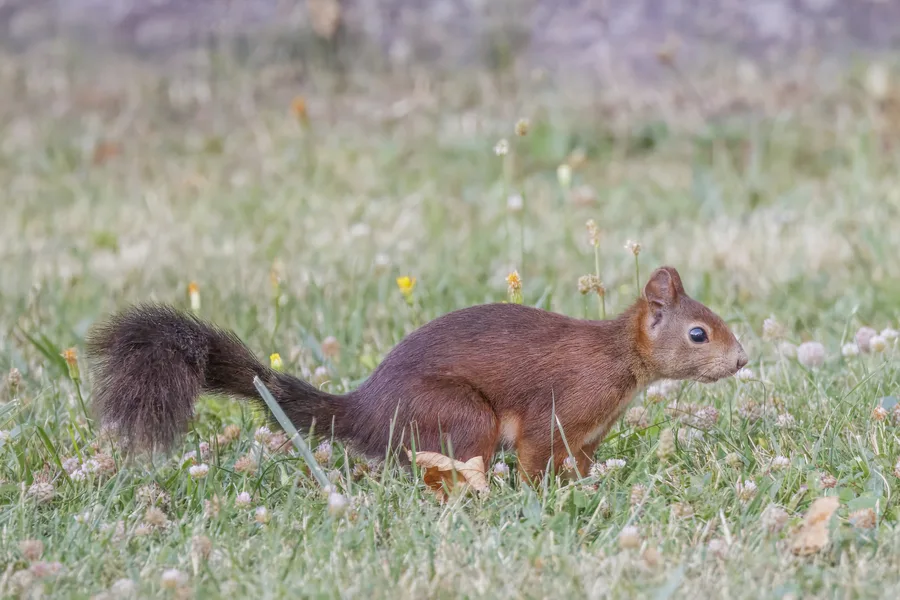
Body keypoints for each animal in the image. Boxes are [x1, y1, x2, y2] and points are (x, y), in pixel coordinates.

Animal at [85, 266, 747, 480]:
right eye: (698, 333)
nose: (742, 359)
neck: (620, 362)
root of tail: (366, 408)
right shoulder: (557, 408)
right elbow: (535, 455)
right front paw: (545, 493)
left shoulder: (586, 434)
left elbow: (579, 461)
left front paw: (588, 485)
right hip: (462, 416)